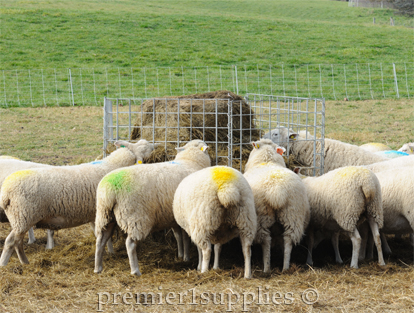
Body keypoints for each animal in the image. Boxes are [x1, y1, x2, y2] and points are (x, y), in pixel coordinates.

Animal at [0, 139, 157, 266]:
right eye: (146, 150)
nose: (156, 146)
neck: (112, 165)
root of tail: (6, 192)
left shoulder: (96, 213)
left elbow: (99, 235)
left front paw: (107, 252)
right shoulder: (102, 211)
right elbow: (105, 236)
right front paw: (109, 252)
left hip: (21, 218)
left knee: (17, 242)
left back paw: (24, 262)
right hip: (23, 216)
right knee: (10, 242)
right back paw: (5, 264)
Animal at [94, 140, 210, 274]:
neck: (190, 161)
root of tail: (110, 189)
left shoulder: (177, 217)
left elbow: (181, 236)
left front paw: (183, 256)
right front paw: (190, 260)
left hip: (105, 215)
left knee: (100, 240)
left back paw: (98, 268)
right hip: (136, 217)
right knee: (130, 244)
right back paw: (135, 271)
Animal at [243, 138, 310, 270]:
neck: (267, 161)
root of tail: (277, 190)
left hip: (262, 216)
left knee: (266, 240)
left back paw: (267, 268)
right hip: (293, 214)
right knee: (288, 240)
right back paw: (285, 267)